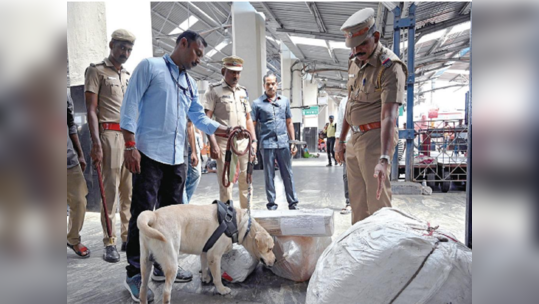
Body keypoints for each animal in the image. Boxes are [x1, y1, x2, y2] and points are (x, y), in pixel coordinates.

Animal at [137, 203, 276, 304]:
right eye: (269, 249)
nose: (275, 260)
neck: (238, 223)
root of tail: (154, 214)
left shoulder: (205, 251)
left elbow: (204, 265)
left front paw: (205, 277)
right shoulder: (214, 256)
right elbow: (218, 276)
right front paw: (221, 289)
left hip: (145, 262)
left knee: (142, 289)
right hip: (171, 263)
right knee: (166, 292)